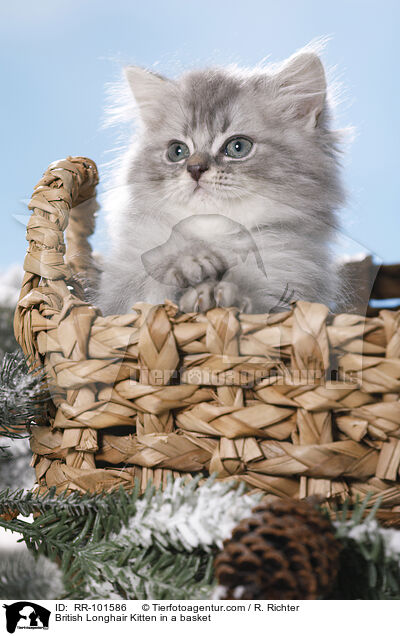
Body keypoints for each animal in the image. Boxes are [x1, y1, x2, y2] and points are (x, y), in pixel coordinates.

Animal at [96, 46, 344, 316]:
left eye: (238, 147)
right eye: (177, 151)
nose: (195, 168)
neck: (215, 236)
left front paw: (218, 294)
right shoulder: (116, 292)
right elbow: (146, 290)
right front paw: (190, 262)